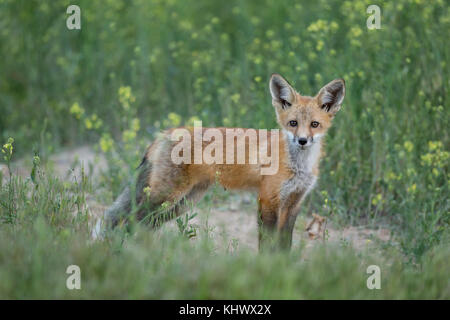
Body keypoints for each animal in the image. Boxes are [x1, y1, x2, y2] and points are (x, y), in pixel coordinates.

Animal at [100, 75, 346, 250]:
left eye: (314, 124)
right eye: (293, 123)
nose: (303, 140)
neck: (298, 166)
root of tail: (164, 133)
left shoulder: (294, 203)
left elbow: (284, 247)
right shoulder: (268, 200)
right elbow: (267, 246)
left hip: (182, 203)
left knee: (143, 226)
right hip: (163, 197)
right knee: (128, 221)